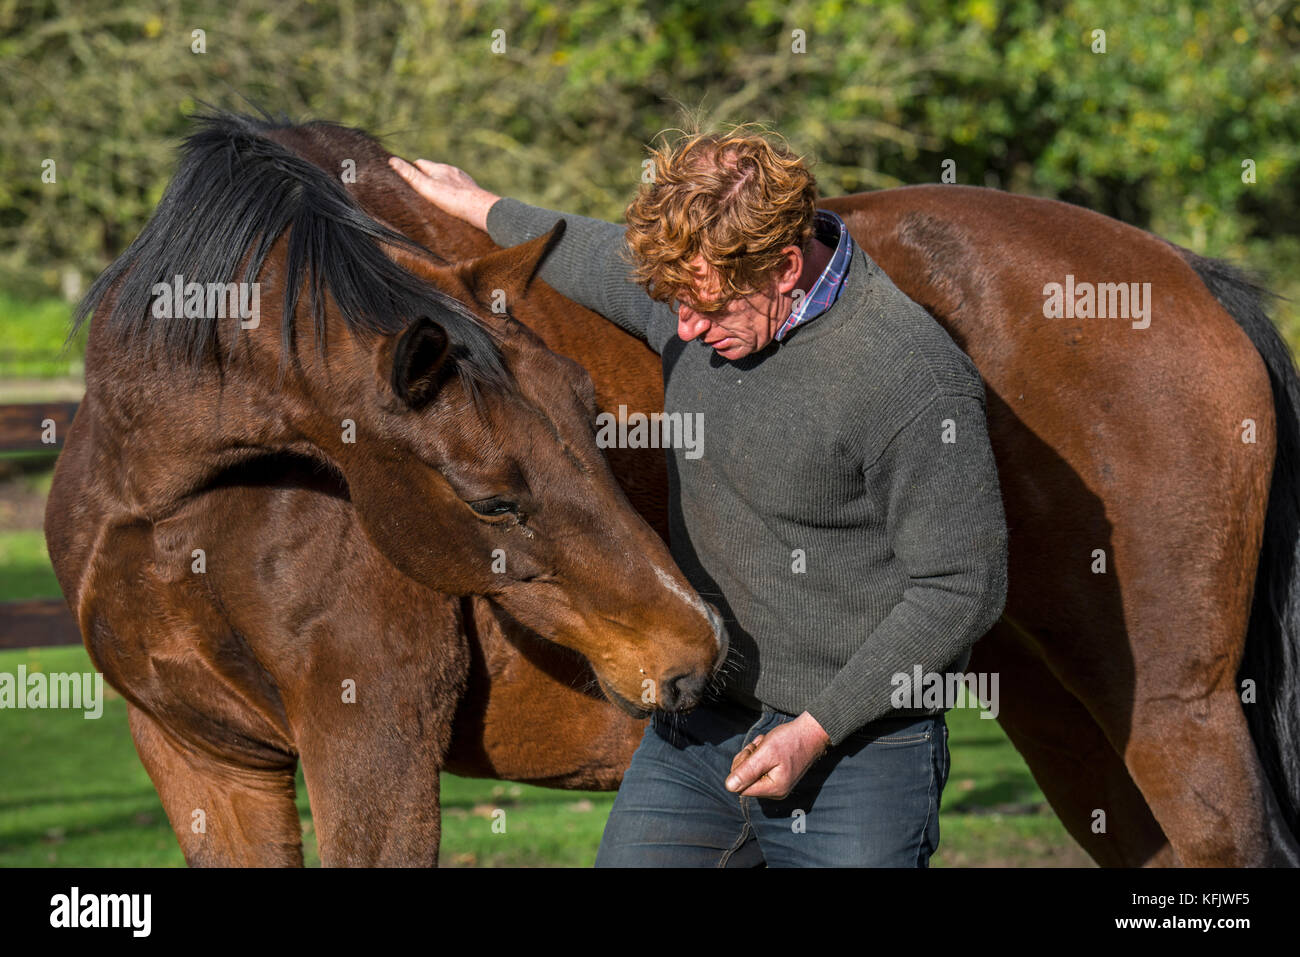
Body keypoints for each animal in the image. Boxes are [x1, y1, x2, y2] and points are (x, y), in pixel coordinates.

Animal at [42, 110, 727, 866]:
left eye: (592, 414)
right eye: (492, 502)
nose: (698, 647)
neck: (162, 506)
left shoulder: (372, 744)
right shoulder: (201, 757)